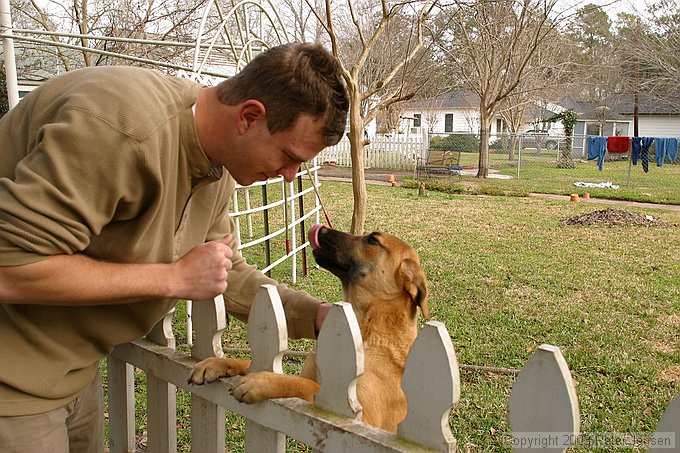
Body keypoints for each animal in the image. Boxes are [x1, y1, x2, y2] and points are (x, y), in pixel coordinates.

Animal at [189, 224, 428, 432]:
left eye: (372, 240)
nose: (321, 230)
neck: (366, 329)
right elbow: (253, 364)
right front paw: (219, 363)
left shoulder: (361, 418)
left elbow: (305, 385)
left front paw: (261, 382)